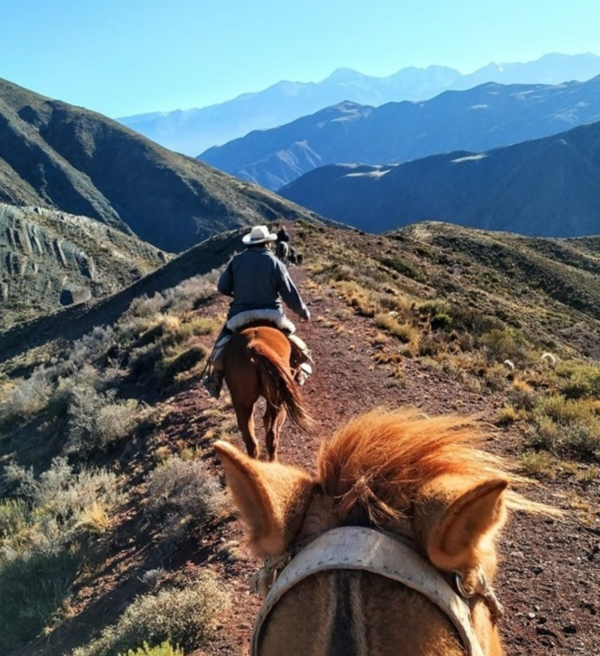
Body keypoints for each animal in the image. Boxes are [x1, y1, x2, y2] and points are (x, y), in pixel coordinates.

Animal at [221, 324, 314, 462]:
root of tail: (255, 346)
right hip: (277, 400)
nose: (300, 377)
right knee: (272, 436)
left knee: (251, 440)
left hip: (242, 402)